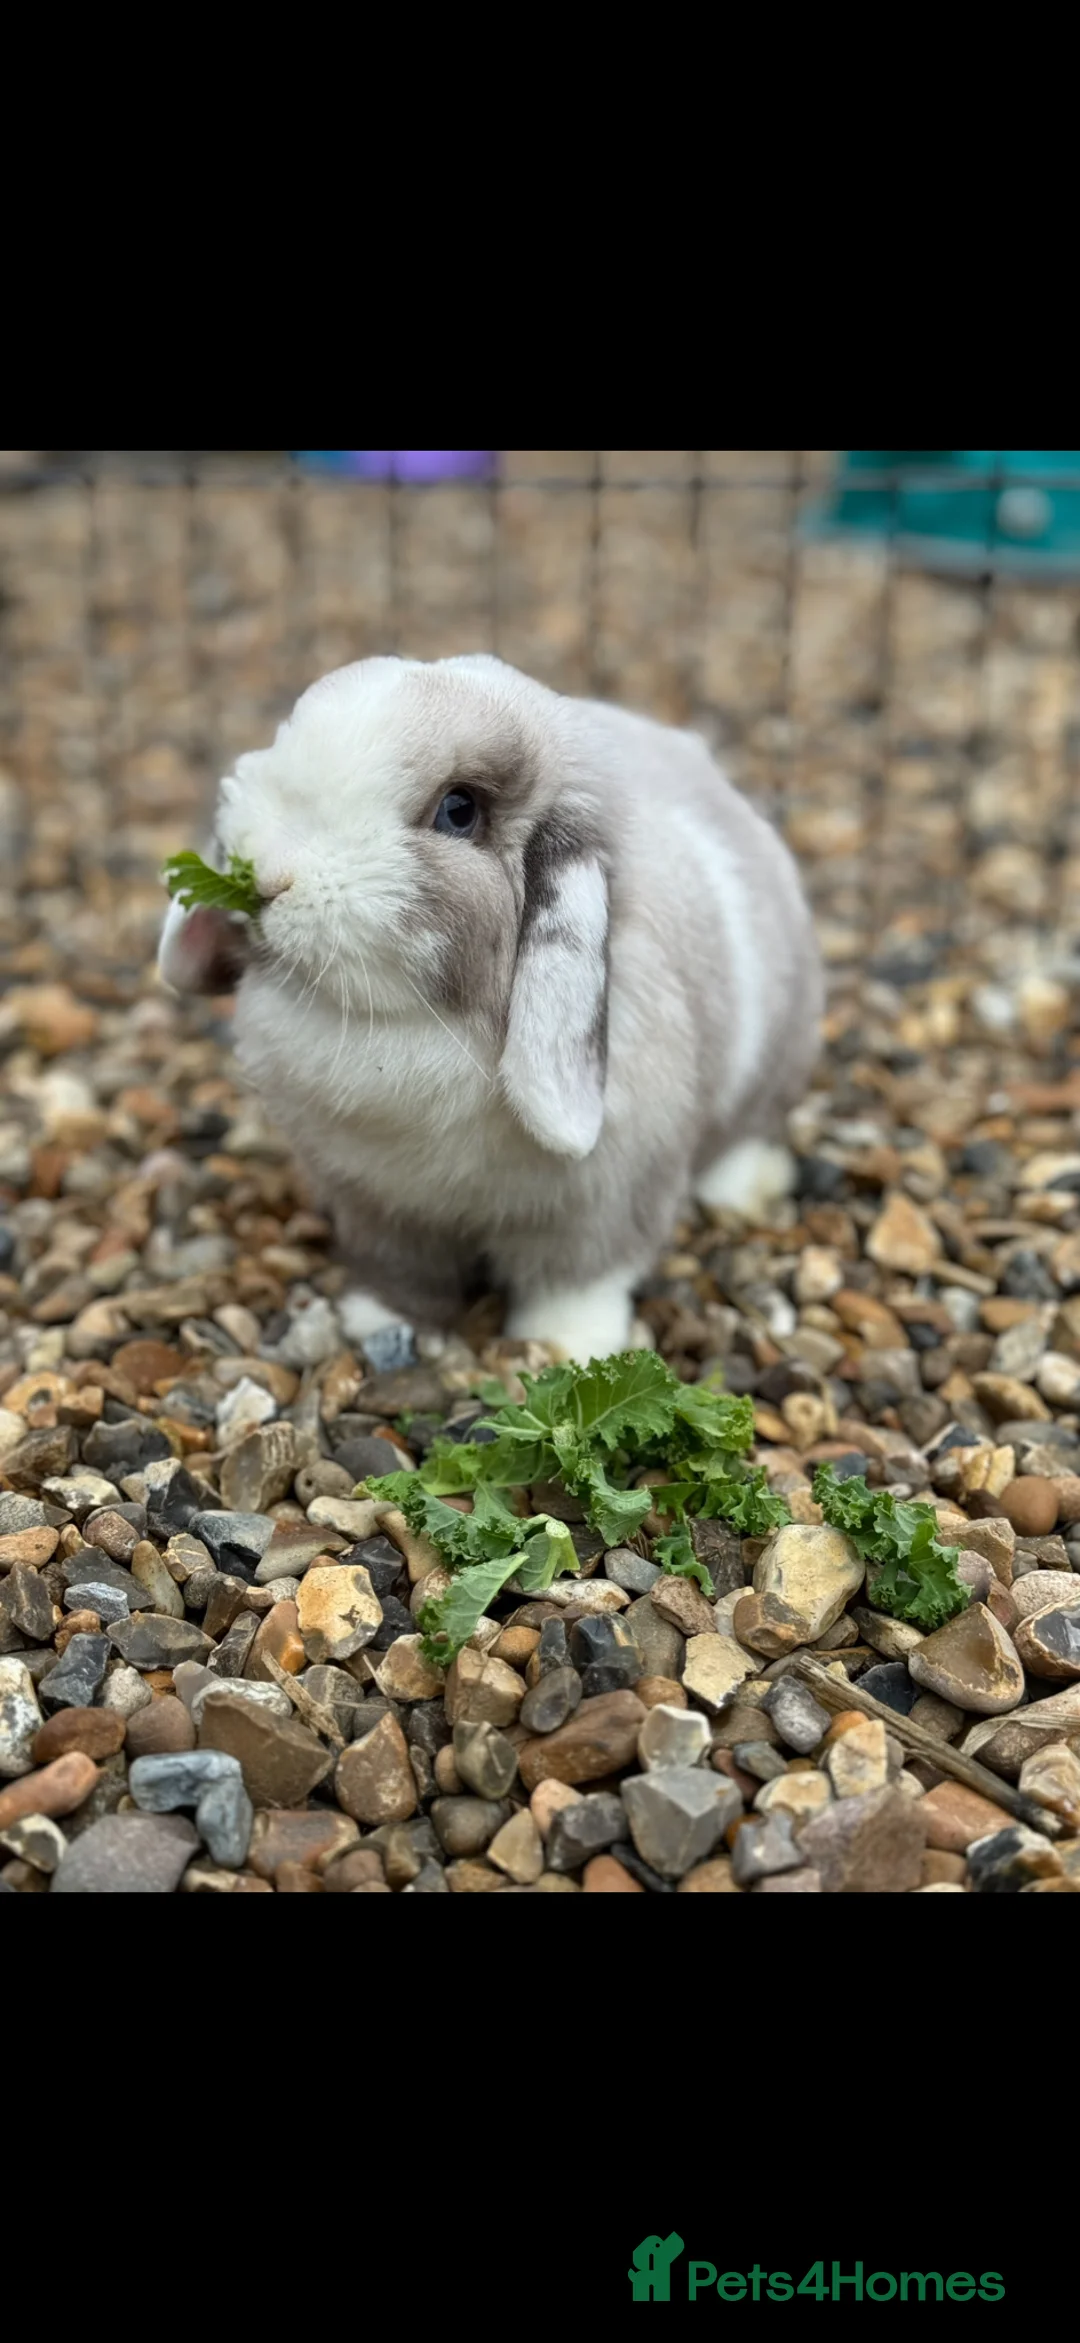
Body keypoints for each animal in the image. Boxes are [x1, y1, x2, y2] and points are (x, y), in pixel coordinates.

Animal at [158, 654, 824, 1362]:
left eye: (458, 810)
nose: (266, 876)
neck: (419, 1026)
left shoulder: (602, 1207)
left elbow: (580, 1280)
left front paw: (567, 1345)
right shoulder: (380, 1207)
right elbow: (401, 1271)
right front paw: (378, 1321)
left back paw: (743, 1190)